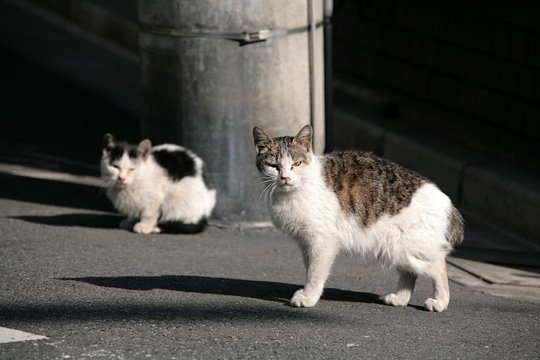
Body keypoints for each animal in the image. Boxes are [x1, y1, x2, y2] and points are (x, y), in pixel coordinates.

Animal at [253, 125, 464, 310]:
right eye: (273, 166)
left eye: (296, 164)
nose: (285, 178)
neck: (294, 191)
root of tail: (450, 206)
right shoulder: (306, 242)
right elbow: (309, 266)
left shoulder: (322, 240)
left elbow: (316, 271)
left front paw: (308, 296)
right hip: (398, 251)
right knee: (410, 272)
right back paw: (399, 298)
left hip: (407, 247)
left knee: (439, 266)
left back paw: (440, 302)